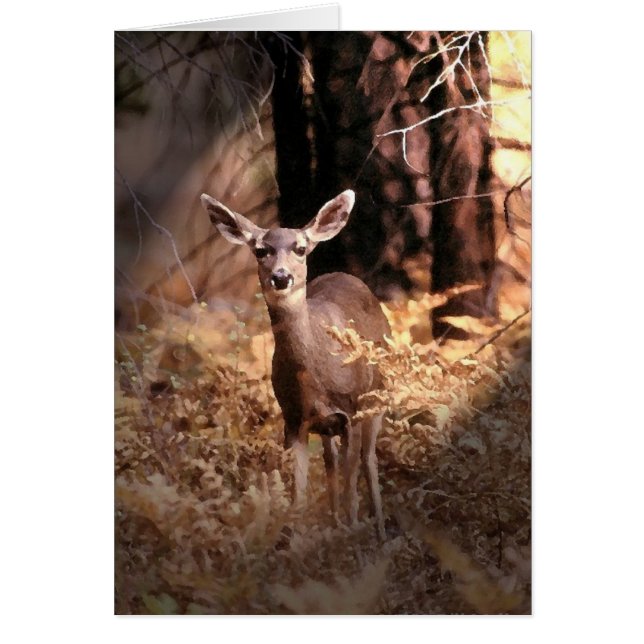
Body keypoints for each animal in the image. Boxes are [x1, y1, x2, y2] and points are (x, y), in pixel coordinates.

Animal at [201, 189, 391, 540]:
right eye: (261, 250)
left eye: (300, 248)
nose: (281, 277)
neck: (315, 375)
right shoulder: (293, 419)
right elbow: (297, 493)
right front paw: (300, 542)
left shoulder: (352, 410)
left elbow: (352, 484)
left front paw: (354, 535)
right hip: (327, 424)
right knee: (331, 460)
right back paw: (335, 522)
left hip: (378, 396)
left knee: (368, 461)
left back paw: (380, 530)